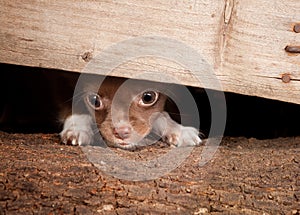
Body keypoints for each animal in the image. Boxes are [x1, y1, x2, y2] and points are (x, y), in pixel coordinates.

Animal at [59, 76, 202, 149]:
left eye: (148, 97)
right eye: (94, 100)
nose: (122, 132)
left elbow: (160, 114)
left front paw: (178, 129)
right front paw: (78, 129)